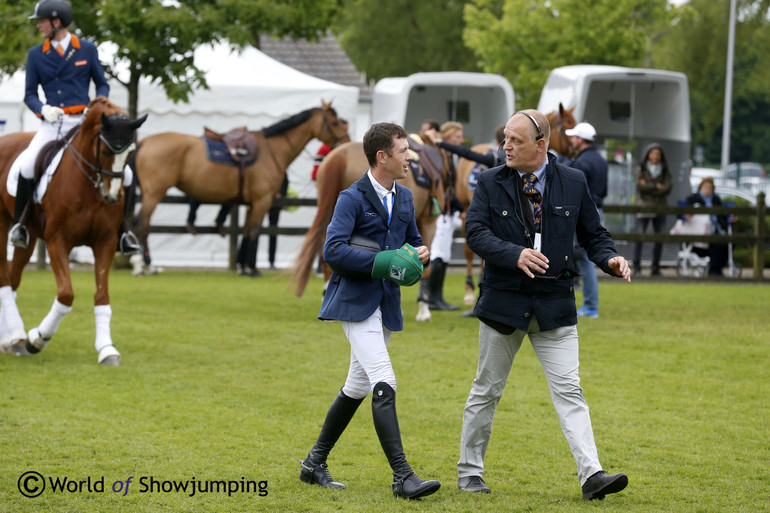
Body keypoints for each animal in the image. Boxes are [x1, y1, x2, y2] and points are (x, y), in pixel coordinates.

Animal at [0, 97, 147, 364]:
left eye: (130, 153)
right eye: (106, 151)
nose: (112, 197)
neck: (89, 184)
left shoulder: (105, 242)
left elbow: (102, 296)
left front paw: (107, 349)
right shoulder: (57, 241)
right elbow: (66, 294)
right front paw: (38, 339)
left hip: (30, 235)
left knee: (14, 279)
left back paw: (12, 340)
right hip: (1, 223)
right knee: (5, 281)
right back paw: (16, 336)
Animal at [130, 101, 348, 276]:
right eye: (335, 122)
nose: (346, 144)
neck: (271, 151)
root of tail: (144, 142)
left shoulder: (252, 204)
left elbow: (245, 231)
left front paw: (242, 266)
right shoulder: (262, 201)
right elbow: (254, 232)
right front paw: (252, 269)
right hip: (153, 194)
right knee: (141, 225)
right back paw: (145, 265)